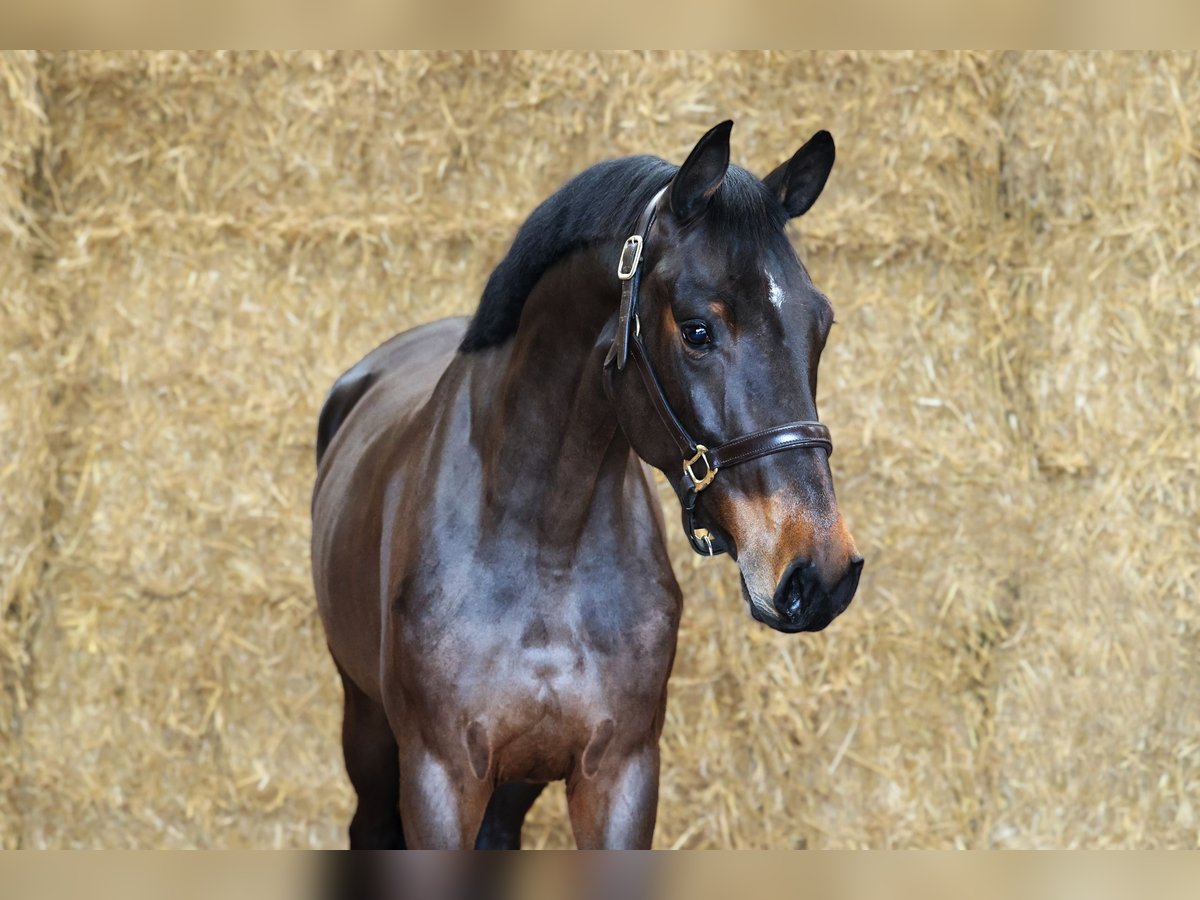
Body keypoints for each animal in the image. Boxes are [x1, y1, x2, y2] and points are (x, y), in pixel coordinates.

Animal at [309, 121, 864, 854]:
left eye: (819, 326)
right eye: (698, 330)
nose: (819, 573)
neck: (546, 542)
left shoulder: (619, 773)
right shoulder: (439, 776)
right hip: (368, 729)